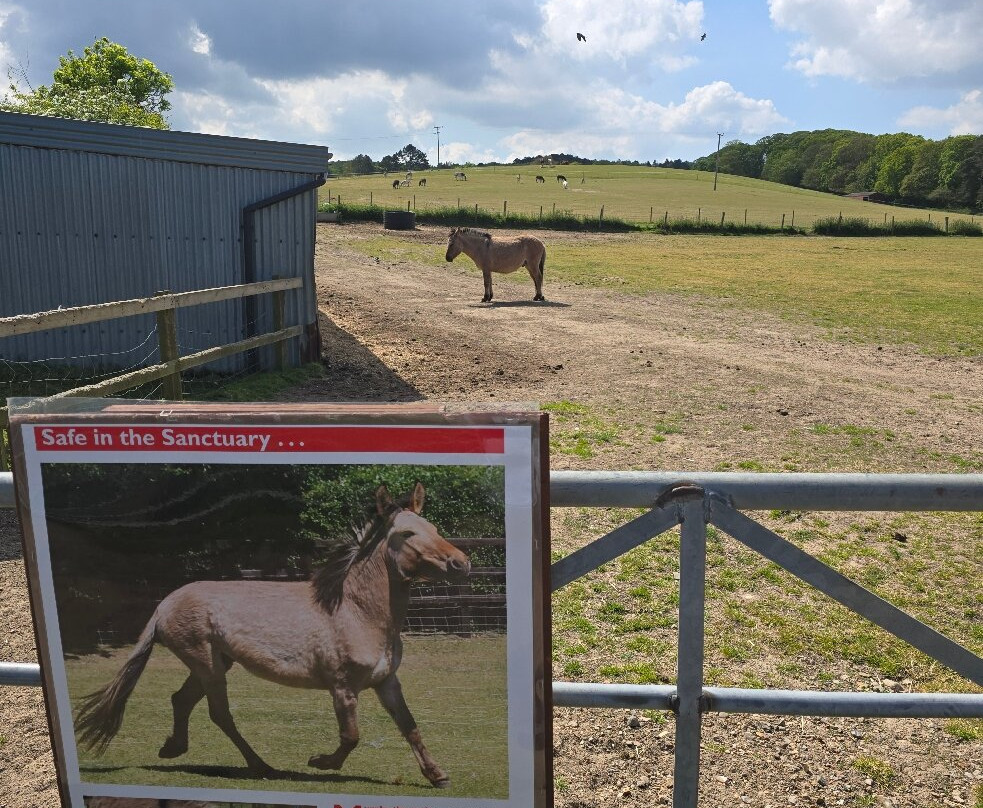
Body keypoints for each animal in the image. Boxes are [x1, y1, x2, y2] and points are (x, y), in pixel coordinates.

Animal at [74, 483, 470, 788]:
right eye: (407, 534)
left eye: (434, 526)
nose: (461, 564)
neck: (356, 612)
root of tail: (163, 605)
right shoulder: (343, 687)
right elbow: (351, 736)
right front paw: (319, 762)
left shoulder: (386, 681)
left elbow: (410, 726)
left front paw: (438, 776)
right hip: (206, 664)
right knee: (220, 714)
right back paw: (261, 766)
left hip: (215, 662)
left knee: (181, 700)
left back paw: (173, 748)